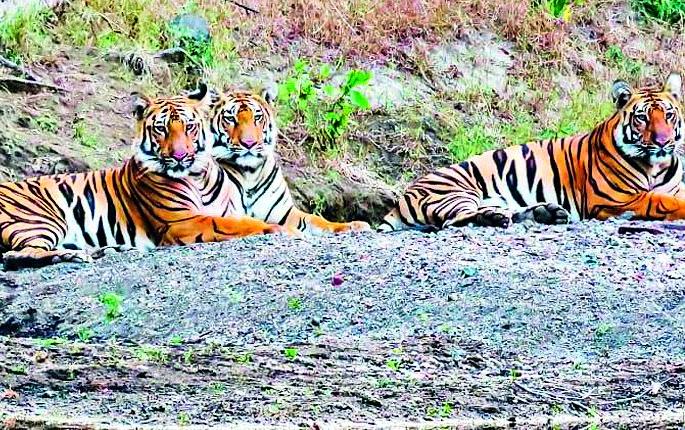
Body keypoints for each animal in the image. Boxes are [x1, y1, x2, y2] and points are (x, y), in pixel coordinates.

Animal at [0, 84, 289, 270]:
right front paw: (276, 229)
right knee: (17, 255)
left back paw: (106, 249)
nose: (181, 156)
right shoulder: (183, 221)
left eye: (189, 126)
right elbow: (237, 225)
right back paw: (71, 256)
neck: (198, 178)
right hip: (39, 218)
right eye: (161, 129)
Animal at [206, 88, 371, 235]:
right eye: (230, 119)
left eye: (257, 118)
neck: (250, 173)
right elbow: (245, 223)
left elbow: (316, 219)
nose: (249, 143)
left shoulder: (285, 213)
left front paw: (351, 226)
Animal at [379, 73, 685, 232]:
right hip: (455, 193)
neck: (655, 166)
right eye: (642, 118)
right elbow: (661, 201)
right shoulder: (618, 199)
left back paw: (547, 213)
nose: (663, 142)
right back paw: (497, 219)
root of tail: (403, 196)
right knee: (455, 221)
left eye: (668, 115)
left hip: (497, 198)